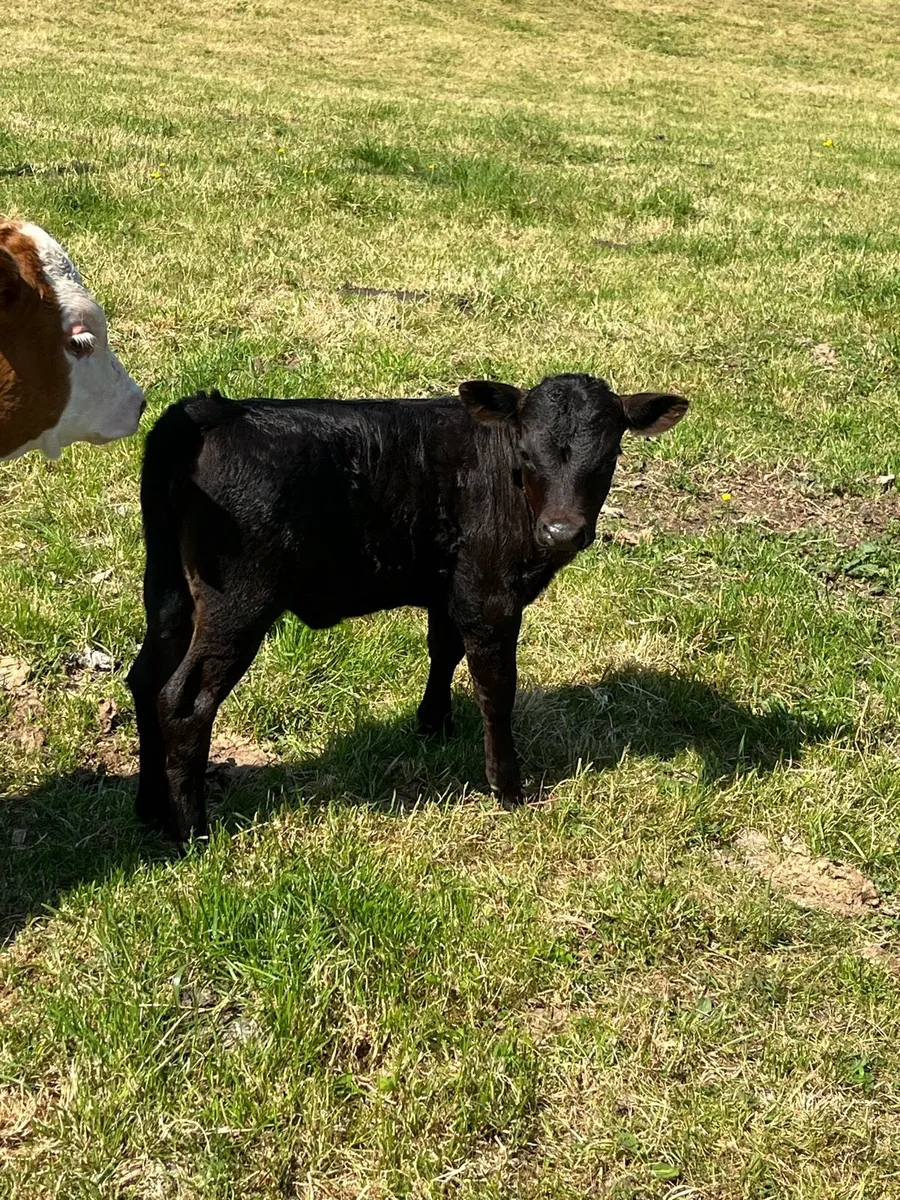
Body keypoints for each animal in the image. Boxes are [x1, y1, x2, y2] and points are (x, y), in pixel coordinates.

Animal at [128, 374, 688, 842]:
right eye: (526, 455)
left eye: (610, 455)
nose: (562, 531)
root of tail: (214, 409)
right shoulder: (489, 596)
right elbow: (495, 689)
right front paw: (507, 788)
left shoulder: (448, 587)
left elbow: (443, 651)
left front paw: (433, 723)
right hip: (239, 601)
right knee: (183, 700)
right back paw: (193, 832)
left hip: (169, 591)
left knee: (144, 679)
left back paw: (151, 808)